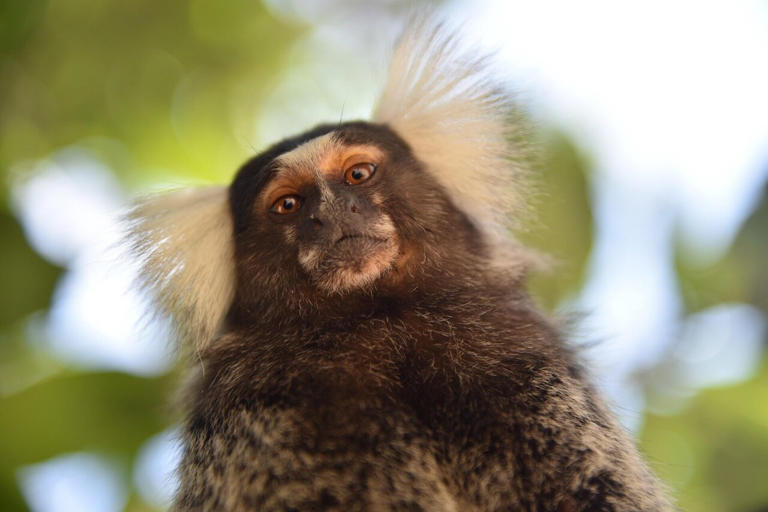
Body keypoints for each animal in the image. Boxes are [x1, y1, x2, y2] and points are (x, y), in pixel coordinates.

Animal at [127, 20, 673, 512]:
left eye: (358, 174)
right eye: (288, 205)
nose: (332, 212)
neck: (382, 321)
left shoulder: (525, 363)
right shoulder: (259, 415)